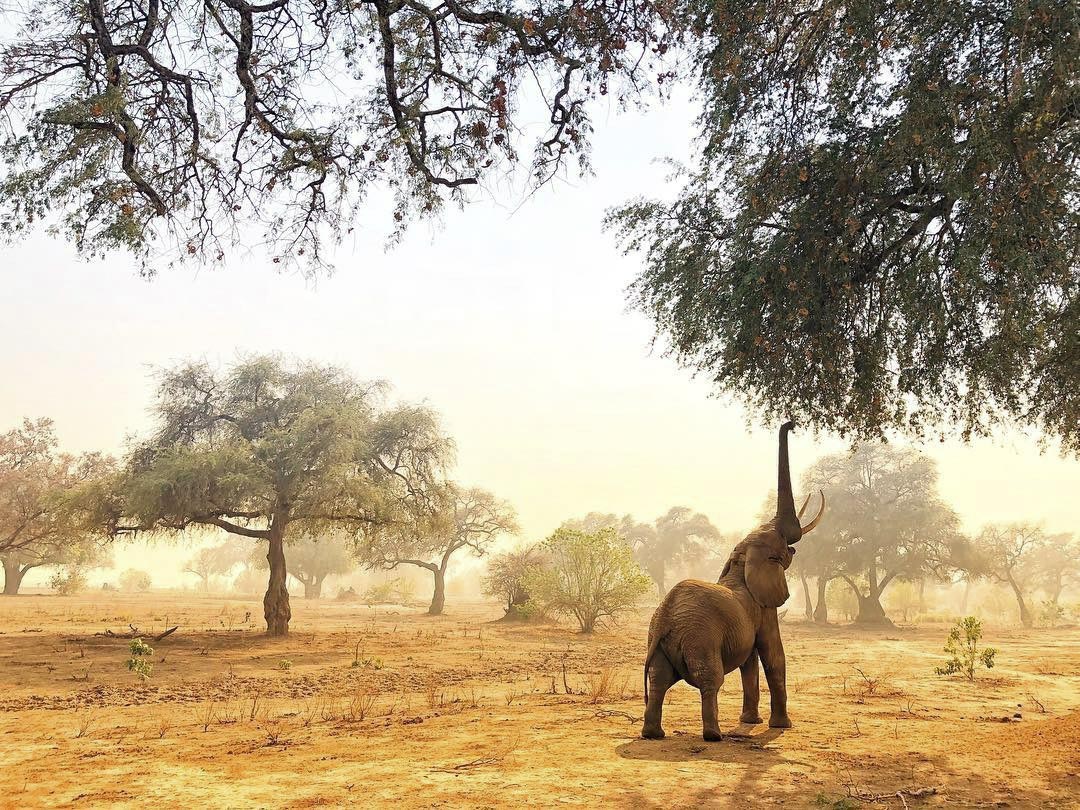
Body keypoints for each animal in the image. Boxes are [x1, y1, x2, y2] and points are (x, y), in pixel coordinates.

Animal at [641, 421, 824, 741]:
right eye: (779, 552)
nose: (792, 423)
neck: (741, 562)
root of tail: (665, 617)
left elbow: (749, 661)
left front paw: (751, 721)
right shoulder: (764, 609)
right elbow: (772, 655)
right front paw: (781, 726)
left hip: (659, 641)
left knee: (658, 680)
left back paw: (654, 734)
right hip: (701, 638)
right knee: (709, 679)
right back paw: (714, 735)